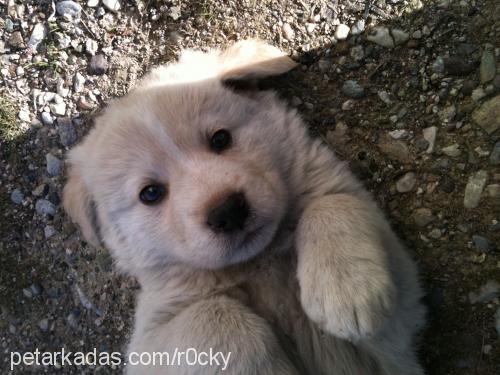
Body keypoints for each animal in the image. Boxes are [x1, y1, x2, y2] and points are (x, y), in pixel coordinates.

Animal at [63, 39, 426, 374]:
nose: (228, 212)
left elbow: (333, 203)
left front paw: (345, 292)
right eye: (150, 193)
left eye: (221, 139)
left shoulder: (403, 311)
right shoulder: (153, 336)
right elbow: (210, 315)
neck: (261, 262)